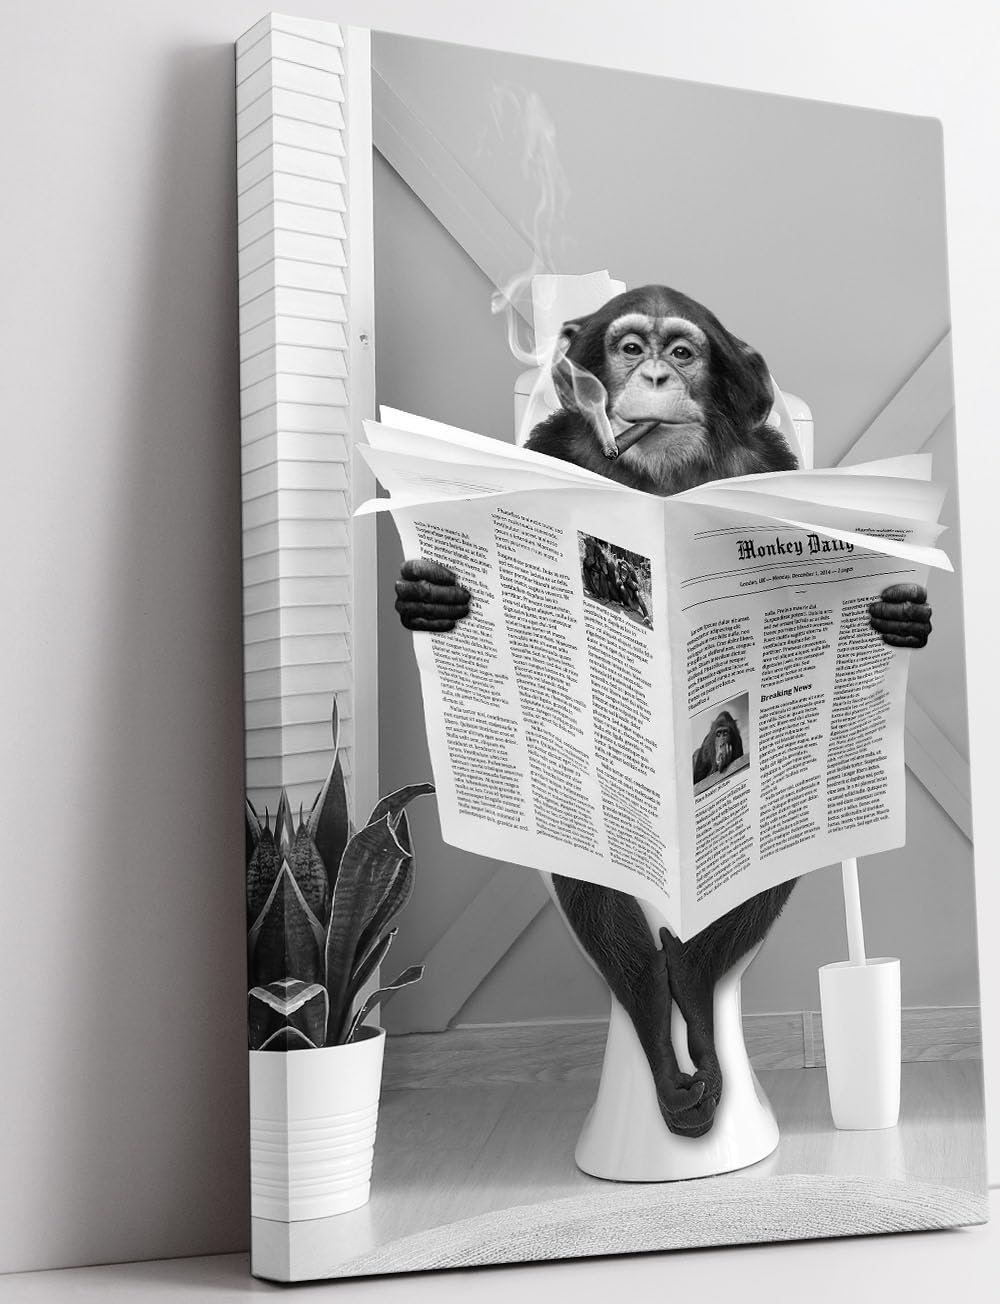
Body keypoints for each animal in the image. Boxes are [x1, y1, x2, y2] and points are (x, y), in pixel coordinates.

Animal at [394, 286, 934, 1138]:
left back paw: (696, 984)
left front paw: (900, 614)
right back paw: (658, 1012)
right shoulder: (550, 453)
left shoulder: (770, 466)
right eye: (628, 347)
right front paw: (430, 596)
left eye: (683, 351)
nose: (652, 373)